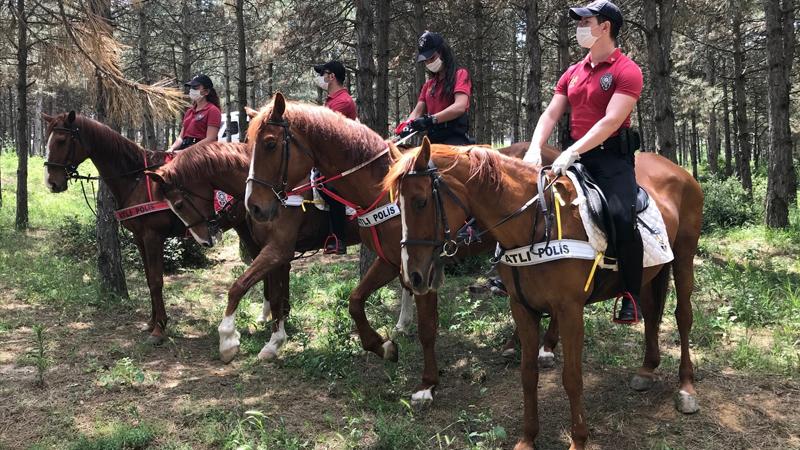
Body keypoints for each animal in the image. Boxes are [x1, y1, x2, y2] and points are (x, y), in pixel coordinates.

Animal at [41, 111, 253, 344]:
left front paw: (159, 330)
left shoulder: (153, 237)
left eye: (61, 140)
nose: (52, 183)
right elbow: (148, 277)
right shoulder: (139, 238)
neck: (136, 180)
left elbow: (156, 280)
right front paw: (152, 322)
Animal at [145, 142, 416, 362]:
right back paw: (403, 324)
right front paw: (275, 342)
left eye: (179, 204)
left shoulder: (278, 250)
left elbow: (238, 287)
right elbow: (275, 297)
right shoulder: (273, 252)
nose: (204, 241)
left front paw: (228, 340)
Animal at [244, 92, 536, 400]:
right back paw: (515, 344)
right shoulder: (389, 261)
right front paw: (382, 346)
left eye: (270, 144)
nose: (254, 206)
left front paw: (427, 384)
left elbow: (427, 327)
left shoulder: (423, 269)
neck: (381, 192)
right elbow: (355, 301)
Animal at [384, 139, 704, 448]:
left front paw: (578, 440)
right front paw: (527, 438)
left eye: (421, 201)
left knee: (683, 316)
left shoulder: (570, 310)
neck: (533, 224)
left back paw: (686, 388)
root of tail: (680, 171)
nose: (413, 276)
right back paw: (647, 369)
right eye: (397, 204)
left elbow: (572, 378)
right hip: (653, 271)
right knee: (650, 311)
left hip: (684, 256)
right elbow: (528, 375)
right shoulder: (522, 308)